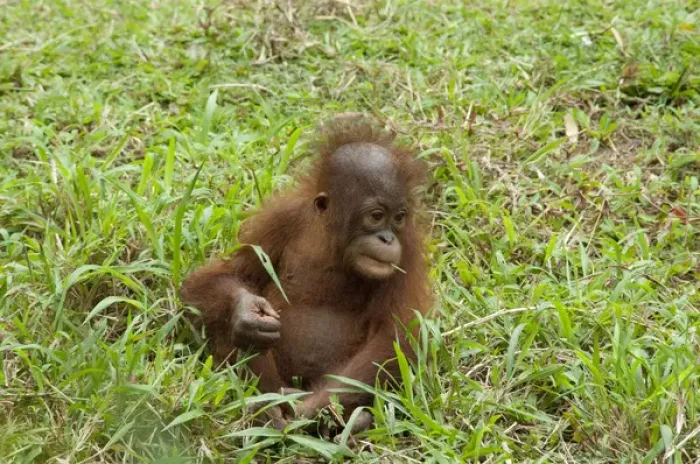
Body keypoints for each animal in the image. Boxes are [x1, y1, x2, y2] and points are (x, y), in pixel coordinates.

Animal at [180, 116, 432, 431]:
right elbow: (223, 274)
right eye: (376, 215)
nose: (387, 239)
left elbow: (396, 336)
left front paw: (309, 411)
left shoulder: (407, 249)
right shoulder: (279, 219)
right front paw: (248, 313)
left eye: (399, 217)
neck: (332, 242)